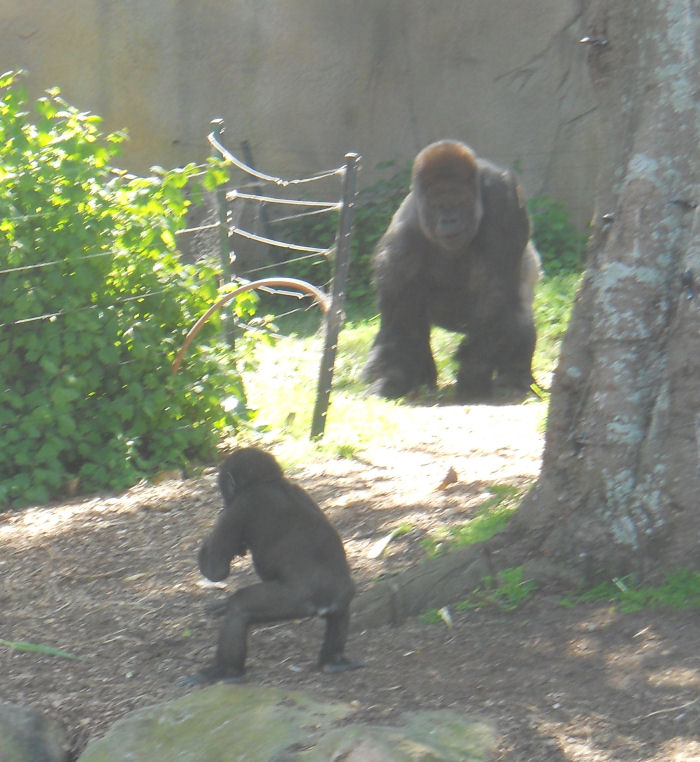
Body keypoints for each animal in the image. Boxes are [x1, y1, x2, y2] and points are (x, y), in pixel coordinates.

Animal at [179, 447, 359, 684]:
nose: (224, 500)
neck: (270, 482)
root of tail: (328, 601)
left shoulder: (239, 508)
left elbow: (215, 569)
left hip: (293, 600)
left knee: (240, 608)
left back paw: (226, 671)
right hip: (342, 598)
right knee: (341, 615)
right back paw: (334, 661)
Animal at [362, 139, 539, 401]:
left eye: (459, 203)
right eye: (438, 205)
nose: (449, 220)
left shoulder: (502, 197)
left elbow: (495, 293)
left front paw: (473, 378)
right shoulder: (401, 243)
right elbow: (401, 319)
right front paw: (392, 379)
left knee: (519, 310)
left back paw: (514, 378)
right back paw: (422, 378)